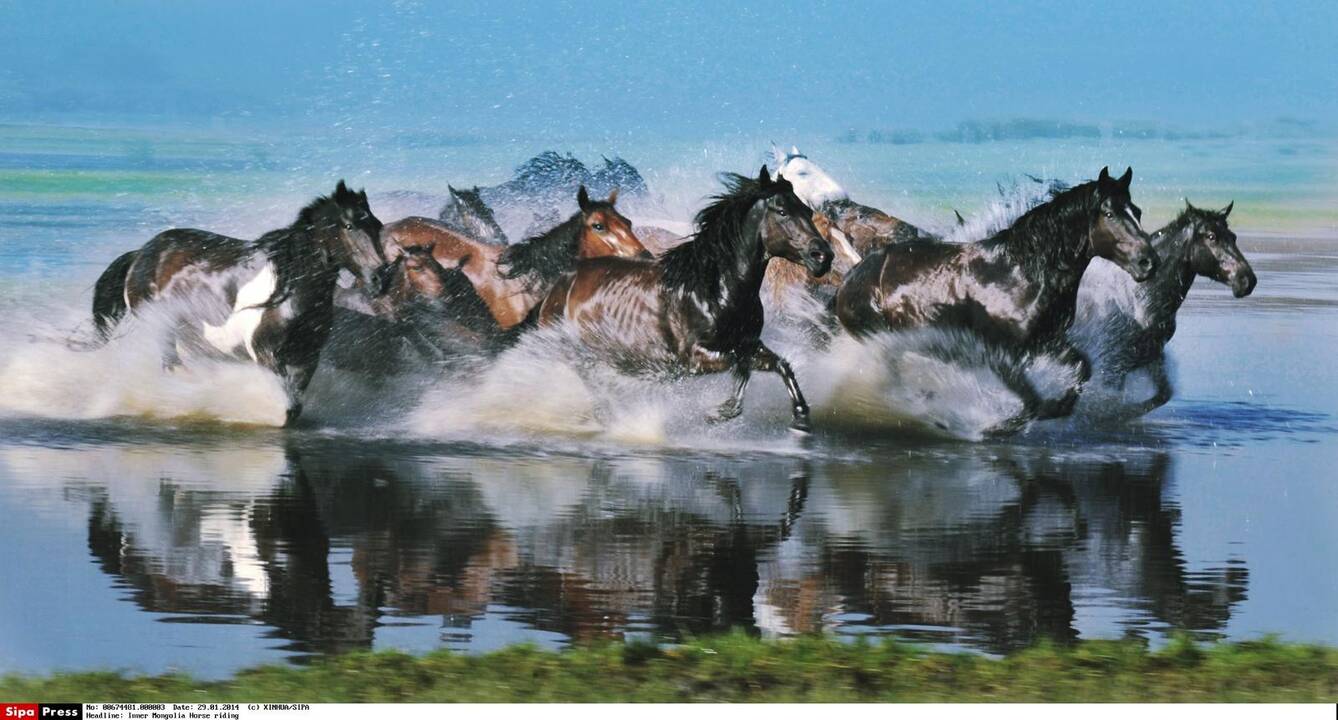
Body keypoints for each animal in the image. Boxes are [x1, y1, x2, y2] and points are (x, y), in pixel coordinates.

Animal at [535, 165, 829, 428]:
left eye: (807, 211)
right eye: (782, 211)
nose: (823, 256)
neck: (714, 290)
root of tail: (560, 284)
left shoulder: (749, 343)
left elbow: (781, 365)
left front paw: (801, 417)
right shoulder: (693, 358)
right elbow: (740, 364)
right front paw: (719, 412)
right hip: (578, 357)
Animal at [834, 165, 1161, 420]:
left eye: (1137, 211)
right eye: (1109, 212)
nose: (1148, 262)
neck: (1022, 275)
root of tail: (852, 277)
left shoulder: (1045, 342)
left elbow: (1082, 367)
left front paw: (1059, 407)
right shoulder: (998, 354)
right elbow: (1031, 401)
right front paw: (998, 427)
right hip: (880, 343)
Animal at [1070, 199, 1257, 412]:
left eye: (1233, 237)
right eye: (1211, 236)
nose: (1247, 280)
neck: (1137, 298)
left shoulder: (1149, 358)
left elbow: (1162, 395)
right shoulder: (1111, 364)